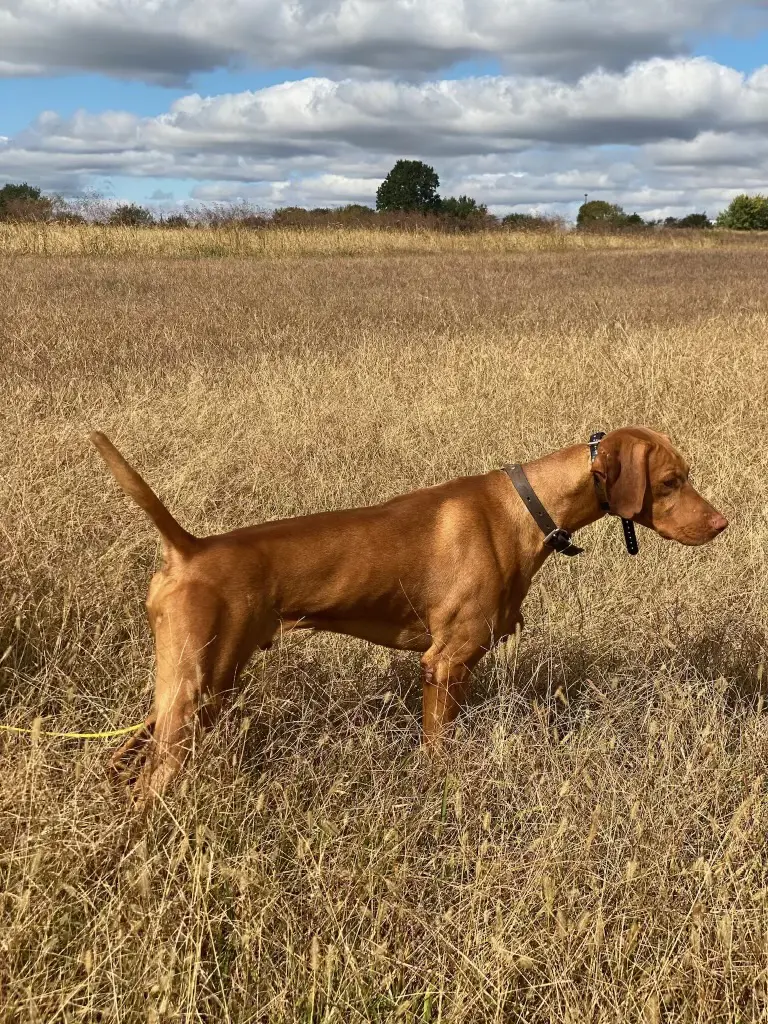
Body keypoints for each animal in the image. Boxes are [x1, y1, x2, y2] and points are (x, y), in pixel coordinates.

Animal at [90, 428, 729, 802]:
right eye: (671, 481)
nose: (723, 524)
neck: (527, 509)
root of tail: (189, 548)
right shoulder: (444, 662)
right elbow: (437, 749)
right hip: (202, 685)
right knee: (152, 779)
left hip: (186, 688)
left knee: (123, 756)